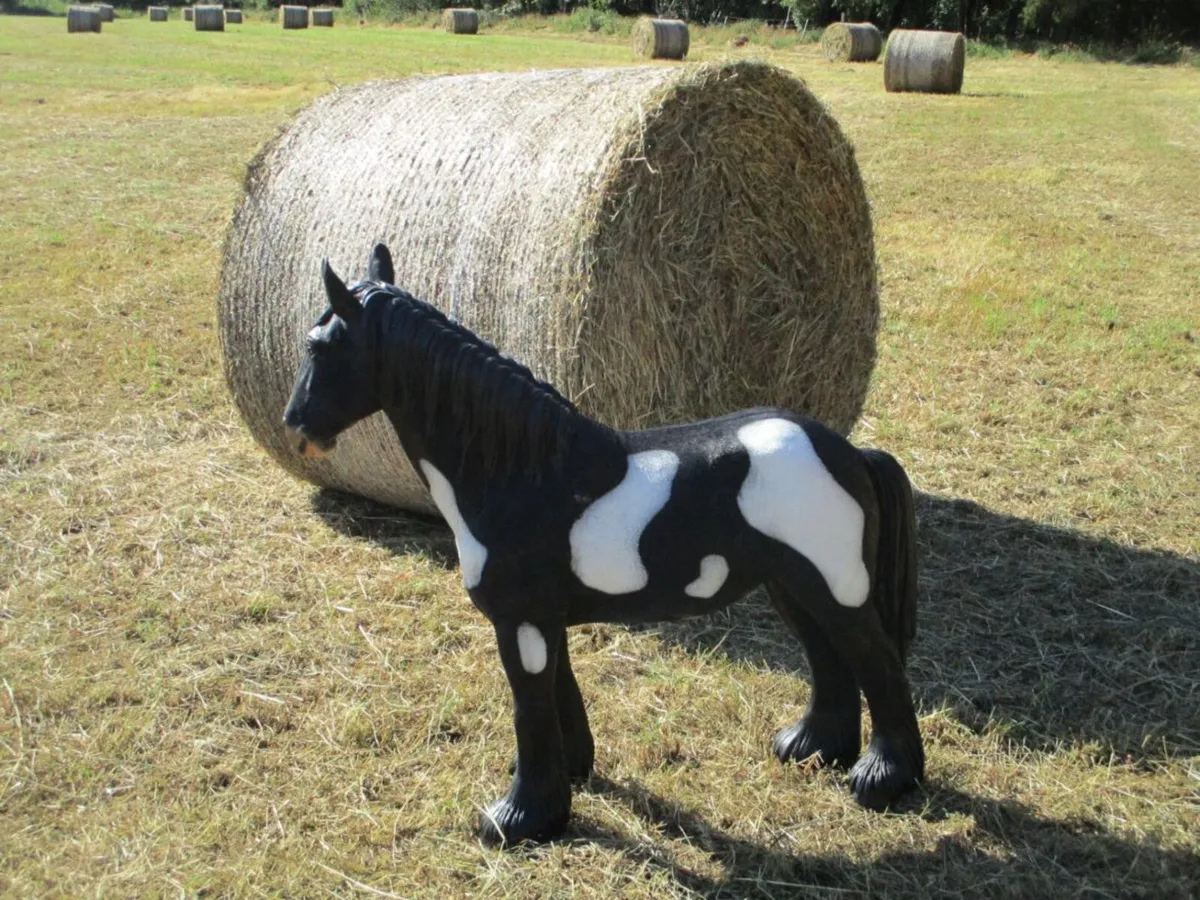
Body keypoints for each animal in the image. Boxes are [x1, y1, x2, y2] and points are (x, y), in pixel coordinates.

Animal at [282, 243, 925, 847]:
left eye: (320, 346)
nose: (297, 428)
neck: (520, 473)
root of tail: (851, 453)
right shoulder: (543, 619)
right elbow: (558, 696)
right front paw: (569, 780)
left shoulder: (520, 620)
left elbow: (529, 706)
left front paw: (518, 819)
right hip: (793, 584)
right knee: (830, 659)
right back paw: (812, 748)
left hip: (834, 583)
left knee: (879, 665)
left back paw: (884, 779)